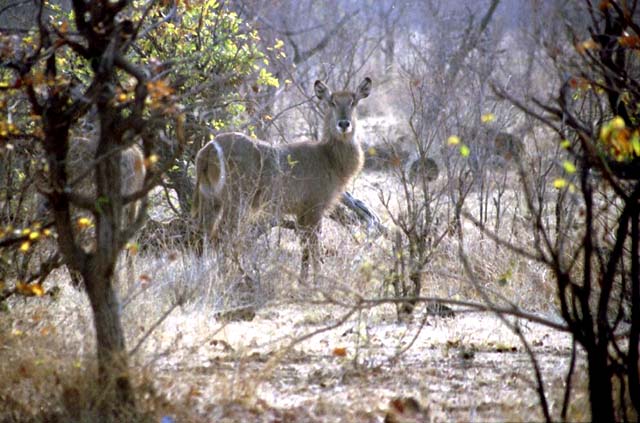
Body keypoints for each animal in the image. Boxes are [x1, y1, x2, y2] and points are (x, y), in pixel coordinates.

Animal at [191, 77, 370, 282]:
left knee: (201, 235)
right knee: (222, 235)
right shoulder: (315, 207)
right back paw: (236, 276)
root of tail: (209, 148)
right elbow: (315, 246)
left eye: (353, 102)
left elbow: (305, 248)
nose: (344, 124)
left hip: (211, 199)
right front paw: (318, 280)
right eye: (332, 102)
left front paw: (303, 280)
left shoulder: (301, 212)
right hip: (237, 200)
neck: (329, 158)